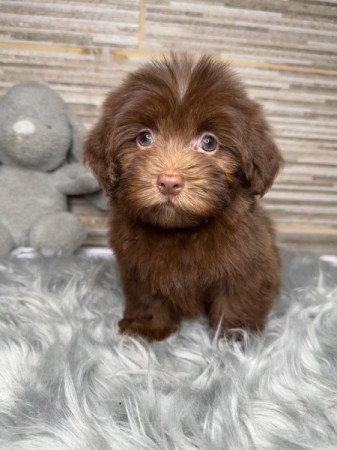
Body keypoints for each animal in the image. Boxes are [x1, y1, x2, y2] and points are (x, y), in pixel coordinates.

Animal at [82, 53, 282, 342]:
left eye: (209, 143)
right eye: (144, 137)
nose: (169, 182)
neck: (180, 229)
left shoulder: (247, 263)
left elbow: (237, 296)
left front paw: (235, 335)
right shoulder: (137, 267)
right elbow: (147, 296)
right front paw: (148, 327)